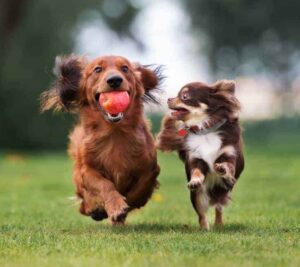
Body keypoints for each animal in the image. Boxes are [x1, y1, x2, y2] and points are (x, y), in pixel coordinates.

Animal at [41, 55, 163, 225]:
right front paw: (116, 206)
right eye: (97, 69)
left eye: (125, 68)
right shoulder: (87, 171)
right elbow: (104, 185)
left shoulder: (151, 167)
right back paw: (96, 209)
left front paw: (131, 202)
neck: (114, 132)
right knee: (84, 205)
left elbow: (142, 185)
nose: (114, 80)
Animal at [157, 80, 244, 230]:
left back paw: (219, 225)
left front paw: (222, 168)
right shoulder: (196, 158)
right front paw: (195, 180)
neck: (205, 131)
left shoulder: (229, 154)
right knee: (202, 214)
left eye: (184, 96)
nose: (168, 99)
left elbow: (228, 166)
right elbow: (197, 171)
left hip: (223, 191)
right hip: (197, 195)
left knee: (219, 208)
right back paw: (204, 229)